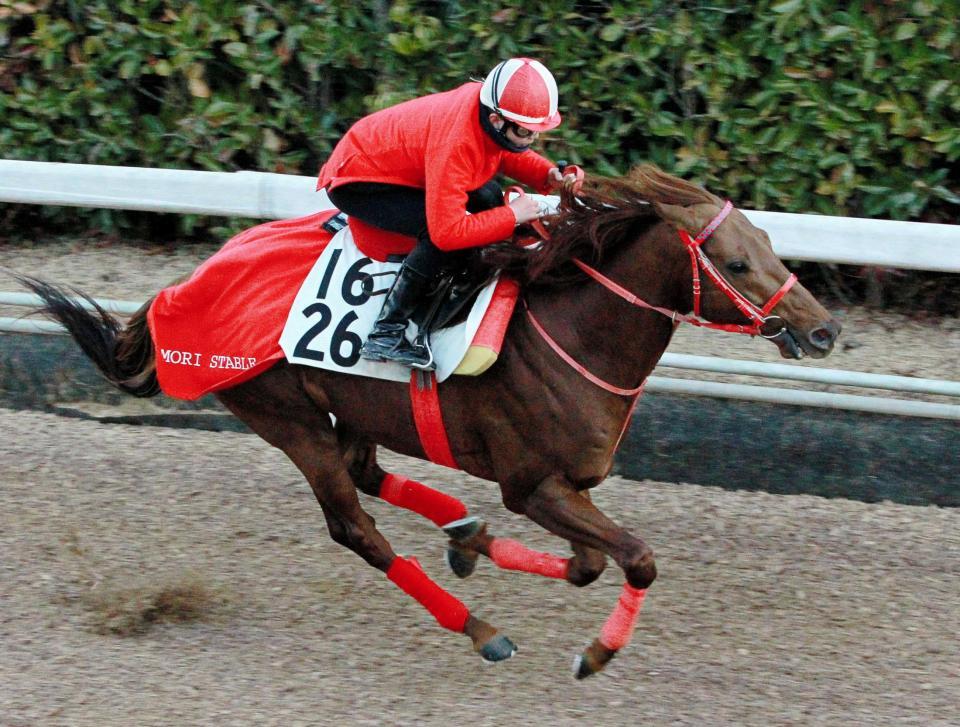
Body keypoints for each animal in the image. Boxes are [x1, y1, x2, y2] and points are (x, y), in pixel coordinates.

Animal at [15, 166, 840, 684]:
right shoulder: (531, 485)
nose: (825, 329)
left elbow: (587, 564)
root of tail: (180, 289)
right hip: (284, 415)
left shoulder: (564, 487)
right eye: (737, 262)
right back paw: (479, 626)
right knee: (355, 524)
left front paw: (477, 545)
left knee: (369, 471)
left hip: (346, 405)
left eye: (772, 245)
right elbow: (633, 559)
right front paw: (594, 655)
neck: (574, 328)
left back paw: (463, 534)